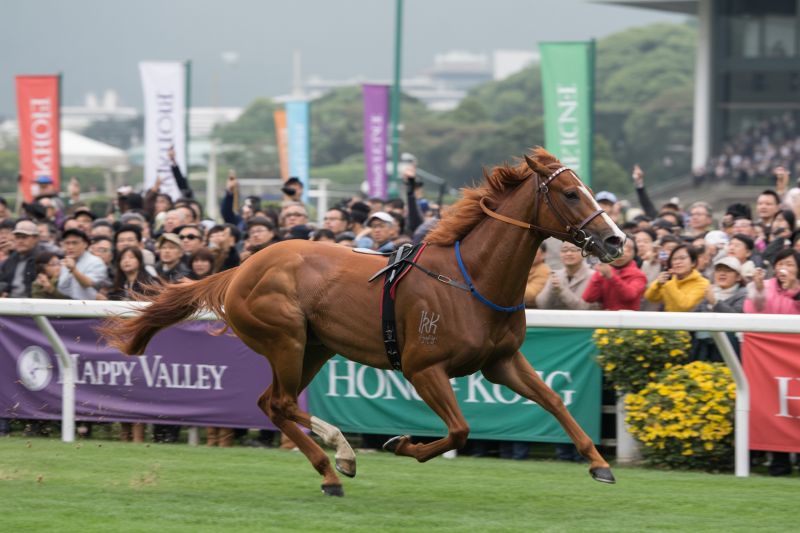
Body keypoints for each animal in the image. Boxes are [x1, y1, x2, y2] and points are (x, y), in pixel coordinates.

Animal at [99, 147, 626, 497]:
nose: (616, 240)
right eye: (570, 193)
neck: (471, 279)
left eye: (586, 190)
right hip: (286, 338)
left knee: (271, 403)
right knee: (282, 402)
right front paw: (400, 442)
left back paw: (331, 469)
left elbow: (554, 400)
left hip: (314, 346)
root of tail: (240, 267)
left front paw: (599, 463)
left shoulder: (502, 361)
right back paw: (341, 457)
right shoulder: (423, 367)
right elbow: (459, 430)